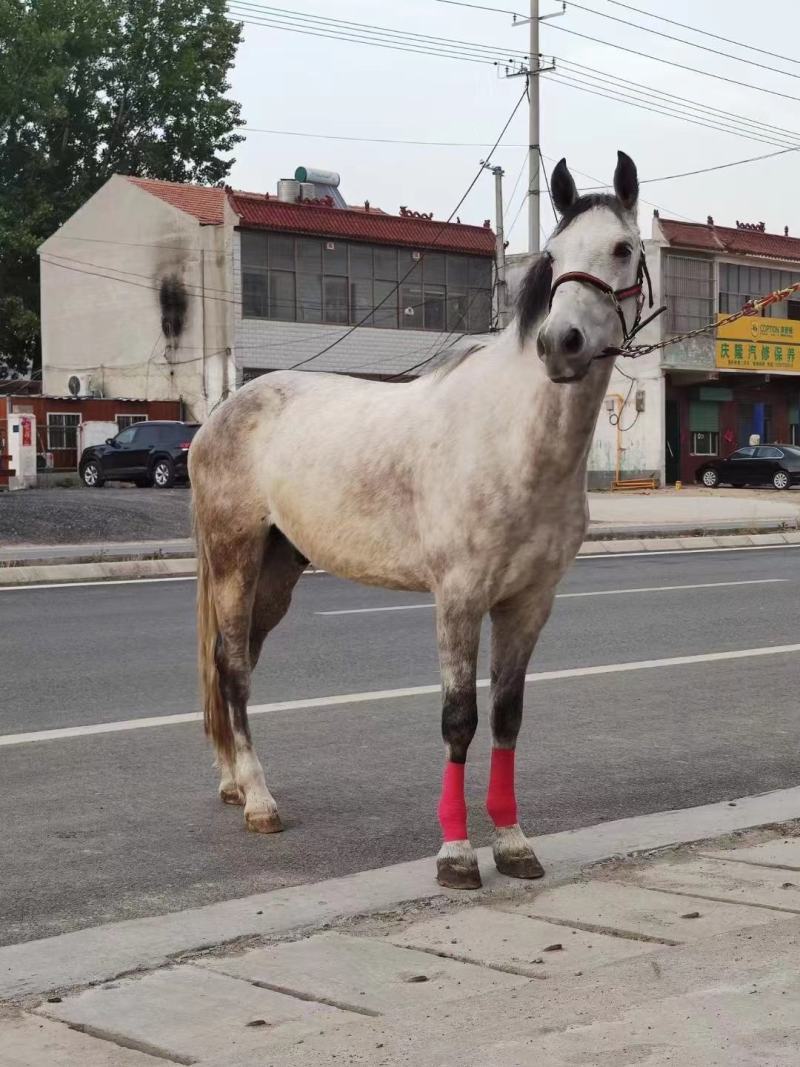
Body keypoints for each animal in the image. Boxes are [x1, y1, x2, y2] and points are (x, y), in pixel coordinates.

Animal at [189, 151, 643, 890]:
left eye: (624, 248)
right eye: (552, 257)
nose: (561, 343)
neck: (515, 439)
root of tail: (219, 414)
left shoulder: (529, 603)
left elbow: (508, 715)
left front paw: (513, 842)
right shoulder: (457, 597)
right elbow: (459, 718)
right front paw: (456, 853)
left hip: (279, 568)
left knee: (240, 660)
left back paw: (233, 781)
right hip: (235, 555)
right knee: (231, 665)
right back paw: (259, 800)